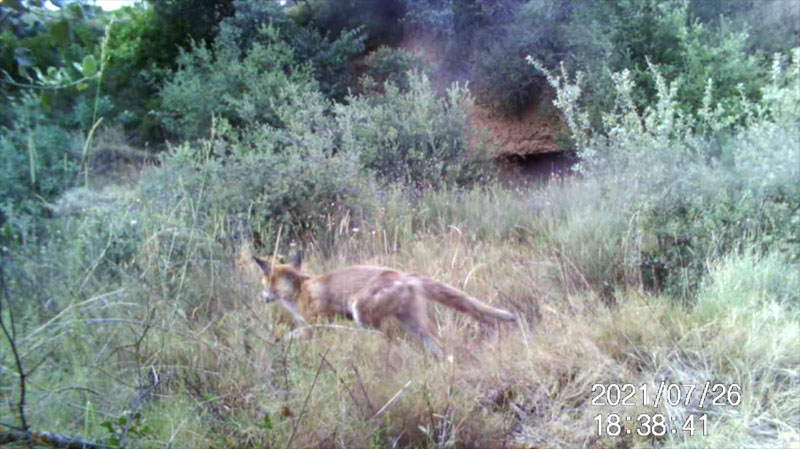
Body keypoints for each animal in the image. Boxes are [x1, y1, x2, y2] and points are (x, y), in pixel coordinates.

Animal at [255, 252, 520, 354]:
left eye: (262, 284)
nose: (262, 298)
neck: (300, 288)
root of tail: (405, 275)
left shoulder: (314, 325)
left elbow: (292, 336)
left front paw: (277, 343)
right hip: (415, 325)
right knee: (438, 346)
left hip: (362, 315)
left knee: (382, 340)